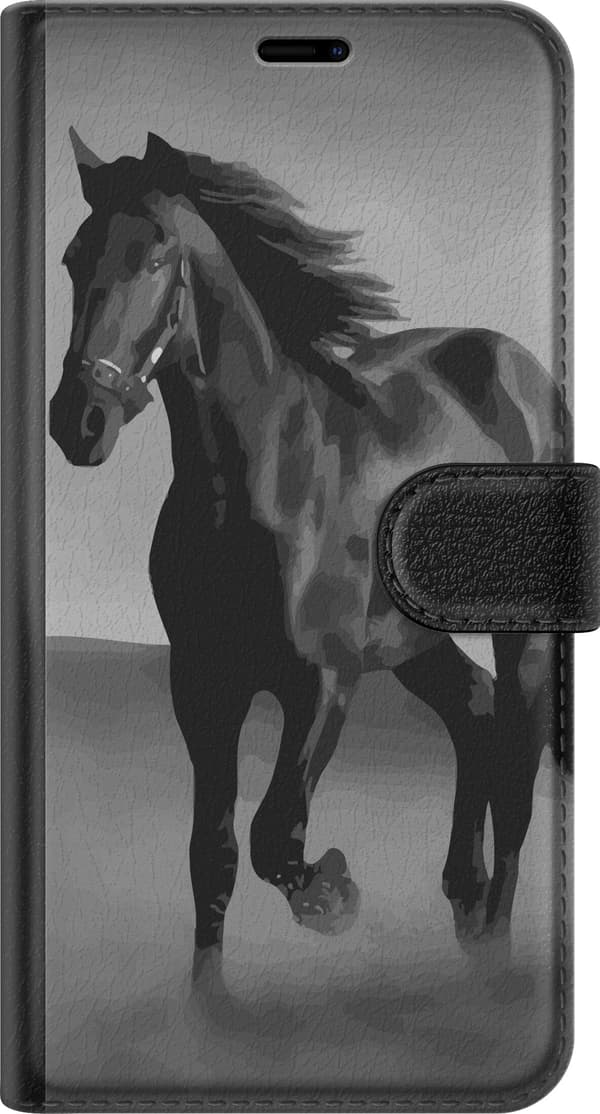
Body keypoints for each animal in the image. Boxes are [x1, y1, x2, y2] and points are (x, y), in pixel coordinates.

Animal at [50, 130, 561, 978]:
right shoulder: (203, 689)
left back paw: (494, 938)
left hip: (522, 633)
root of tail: (525, 373)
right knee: (477, 714)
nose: (77, 421)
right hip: (416, 642)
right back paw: (464, 896)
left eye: (154, 255)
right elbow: (215, 858)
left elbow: (274, 835)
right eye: (72, 256)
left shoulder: (322, 683)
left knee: (519, 762)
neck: (261, 484)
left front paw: (333, 893)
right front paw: (208, 1001)